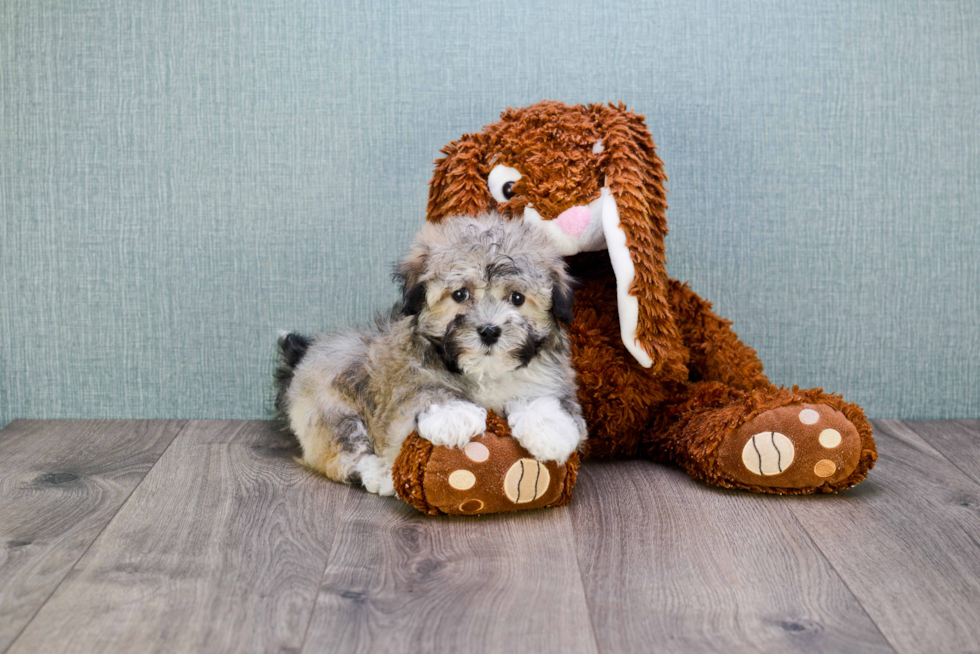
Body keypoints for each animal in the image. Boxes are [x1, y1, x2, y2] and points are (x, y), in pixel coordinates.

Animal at [272, 215, 584, 498]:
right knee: (342, 451)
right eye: (460, 294)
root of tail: (303, 355)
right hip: (331, 409)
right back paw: (379, 475)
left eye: (517, 298)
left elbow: (545, 398)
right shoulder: (406, 383)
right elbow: (425, 392)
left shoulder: (550, 377)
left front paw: (549, 430)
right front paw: (454, 415)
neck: (485, 372)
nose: (489, 330)